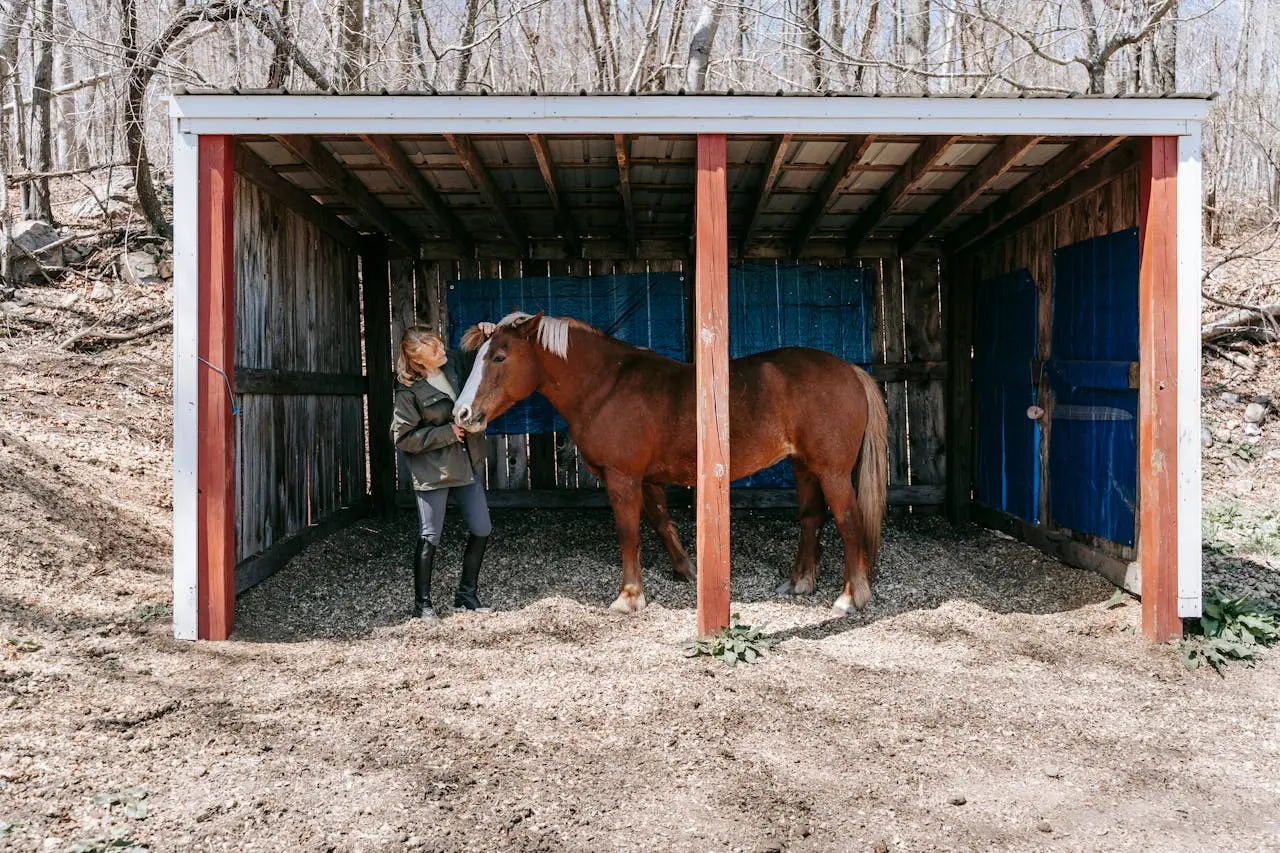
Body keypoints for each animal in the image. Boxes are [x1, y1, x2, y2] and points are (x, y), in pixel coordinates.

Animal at [453, 308, 890, 614]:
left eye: (500, 358)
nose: (461, 414)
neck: (606, 385)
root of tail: (851, 370)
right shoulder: (647, 479)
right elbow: (661, 523)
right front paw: (688, 571)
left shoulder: (622, 478)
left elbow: (628, 533)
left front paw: (630, 596)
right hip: (805, 467)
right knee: (811, 518)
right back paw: (799, 582)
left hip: (832, 472)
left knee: (849, 522)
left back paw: (850, 596)